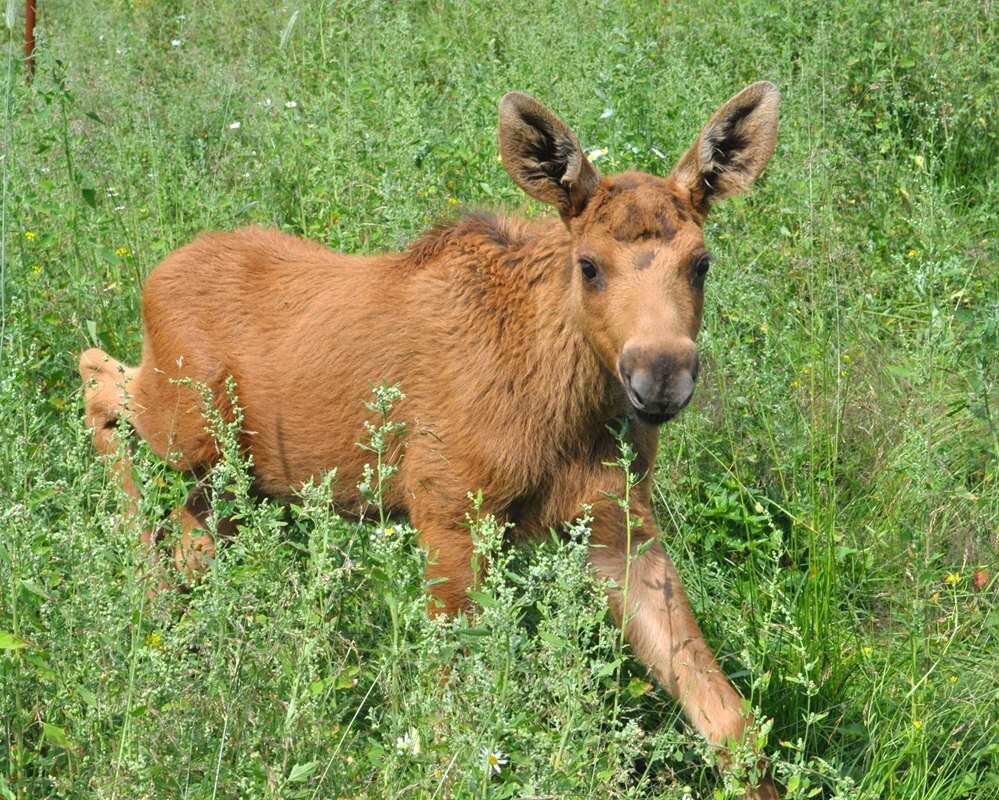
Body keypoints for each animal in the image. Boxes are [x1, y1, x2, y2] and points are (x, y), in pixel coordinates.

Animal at [80, 81, 780, 792]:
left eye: (701, 263)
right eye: (588, 265)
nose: (660, 376)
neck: (563, 407)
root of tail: (154, 277)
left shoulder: (619, 524)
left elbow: (728, 717)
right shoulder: (446, 510)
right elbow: (450, 714)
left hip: (232, 474)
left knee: (188, 518)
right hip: (186, 424)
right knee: (96, 377)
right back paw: (145, 585)